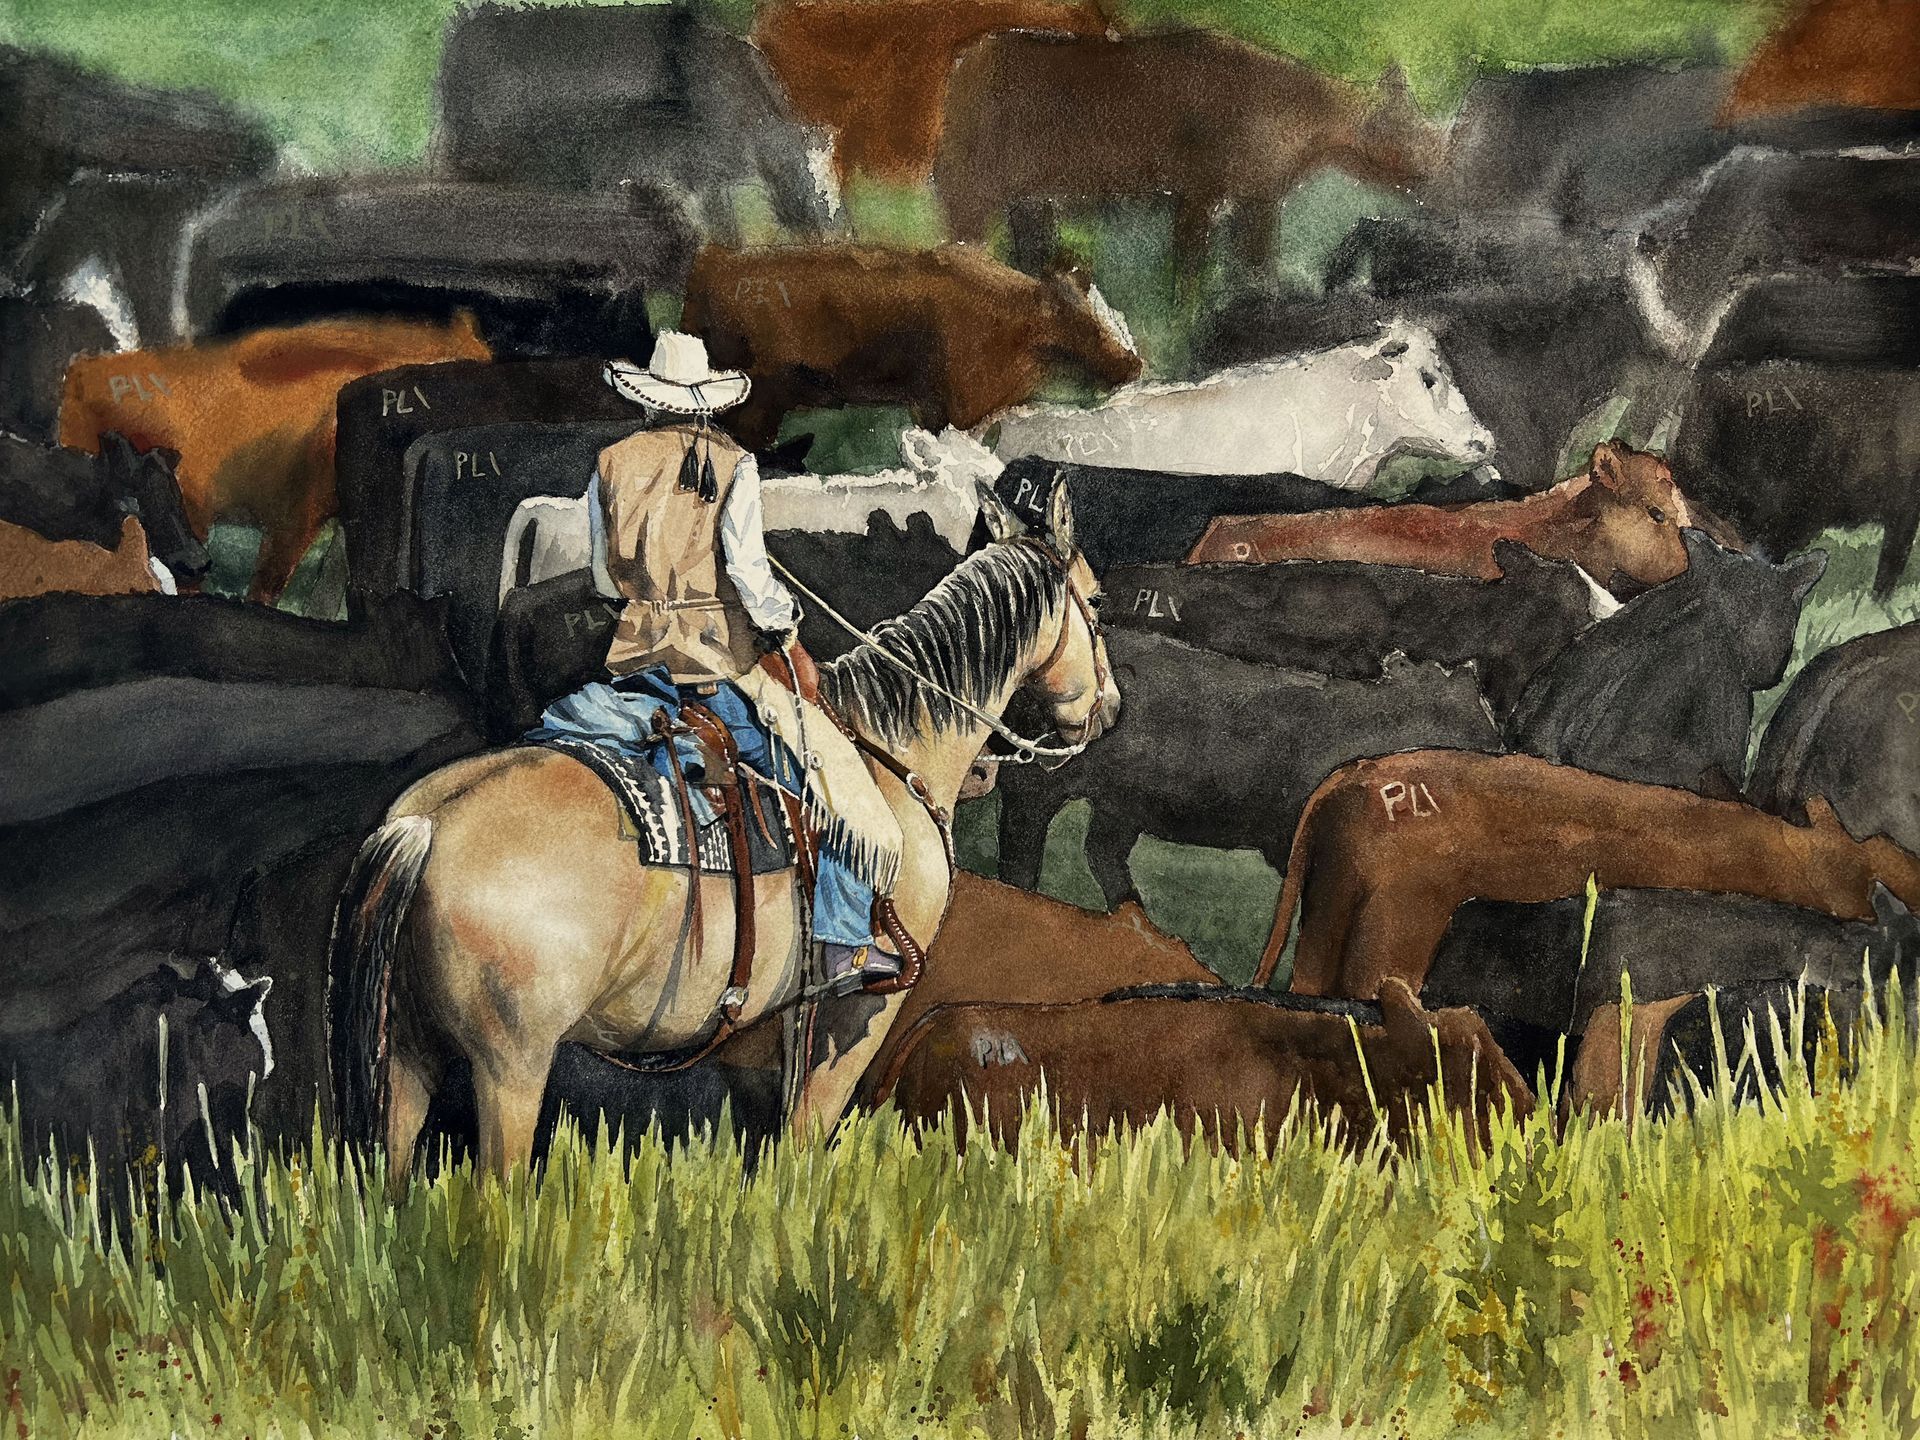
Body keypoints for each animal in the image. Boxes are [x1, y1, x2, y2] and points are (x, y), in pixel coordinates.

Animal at [328, 481, 1120, 1183]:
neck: (886, 748)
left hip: (404, 1060)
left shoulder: (766, 1034)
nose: (1109, 707)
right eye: (1096, 602)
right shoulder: (858, 1013)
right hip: (511, 1070)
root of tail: (426, 824)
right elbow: (803, 1150)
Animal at [680, 243, 1143, 452]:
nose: (1133, 363)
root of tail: (709, 262)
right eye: (1084, 323)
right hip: (754, 395)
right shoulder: (959, 404)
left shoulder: (934, 405)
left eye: (1098, 313)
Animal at [934, 31, 1443, 275]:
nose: (1441, 163)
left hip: (1030, 201)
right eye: (1414, 133)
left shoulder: (1258, 200)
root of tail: (960, 71)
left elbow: (1256, 274)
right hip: (972, 193)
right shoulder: (1200, 193)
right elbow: (1189, 280)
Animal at [995, 629, 1499, 908]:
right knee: (1021, 843)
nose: (1503, 746)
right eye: (1470, 717)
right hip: (1040, 786)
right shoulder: (1289, 835)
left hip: (1121, 804)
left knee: (1101, 851)